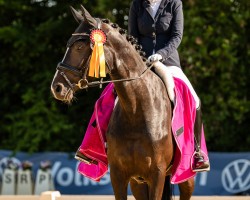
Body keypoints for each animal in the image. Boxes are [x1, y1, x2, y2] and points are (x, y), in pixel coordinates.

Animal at [50, 5, 195, 199]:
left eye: (79, 46)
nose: (57, 87)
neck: (136, 109)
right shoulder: (119, 174)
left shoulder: (157, 174)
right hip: (138, 182)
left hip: (185, 176)